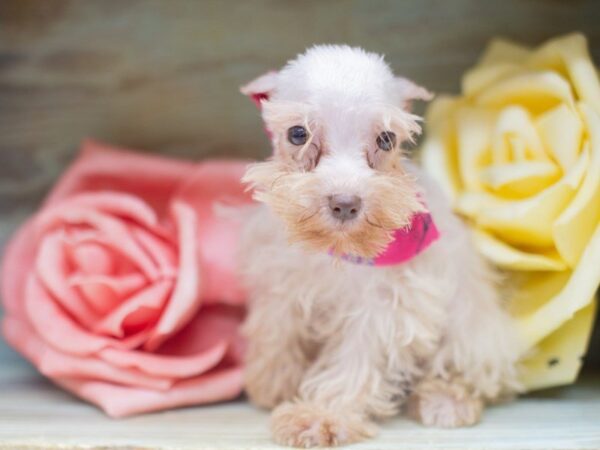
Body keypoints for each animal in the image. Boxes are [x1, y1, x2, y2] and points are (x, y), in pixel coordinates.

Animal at [237, 45, 516, 446]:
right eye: (297, 133)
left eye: (386, 139)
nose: (345, 202)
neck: (340, 251)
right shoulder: (282, 276)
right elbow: (277, 328)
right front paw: (272, 381)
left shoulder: (385, 305)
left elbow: (355, 360)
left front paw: (322, 415)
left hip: (472, 330)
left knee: (470, 371)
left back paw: (447, 400)